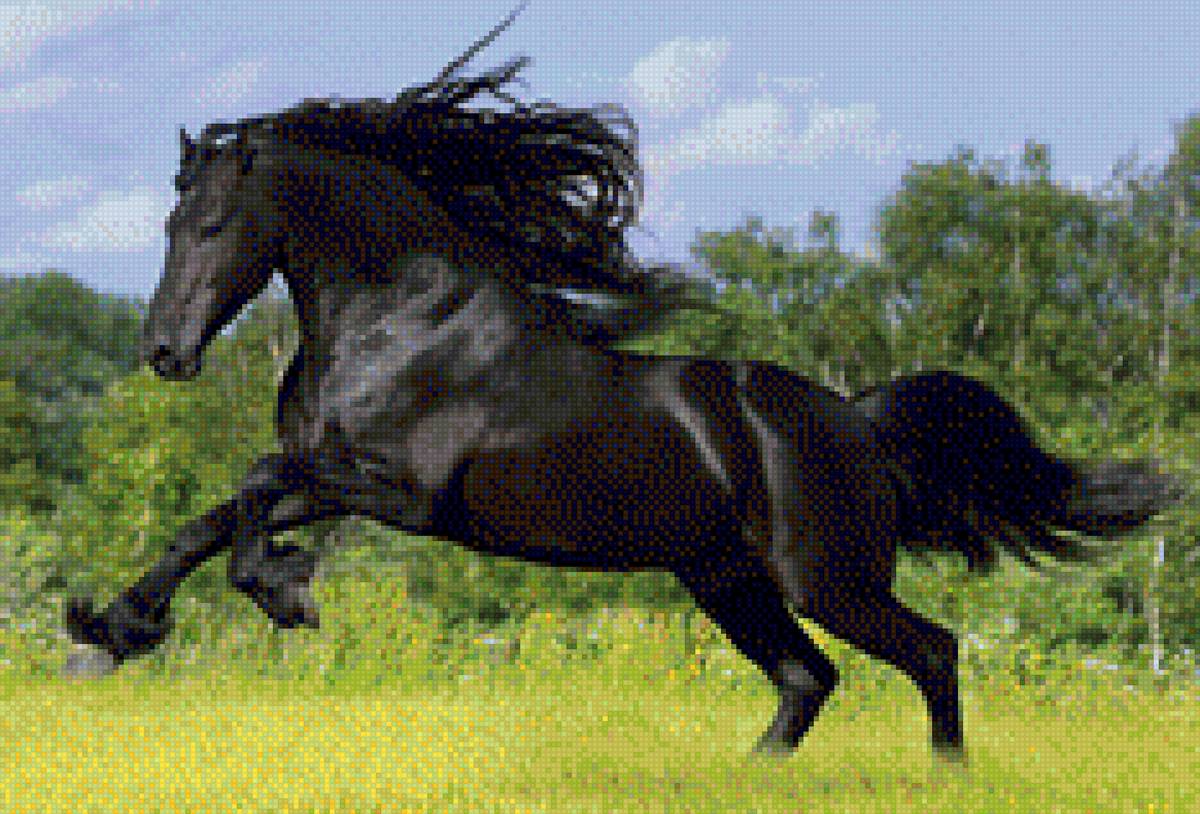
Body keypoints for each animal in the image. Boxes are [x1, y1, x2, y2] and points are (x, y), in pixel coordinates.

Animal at [64, 8, 1180, 764]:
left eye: (212, 223)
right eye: (168, 221)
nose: (164, 352)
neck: (396, 321)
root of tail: (857, 422)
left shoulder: (402, 492)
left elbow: (251, 490)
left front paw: (285, 592)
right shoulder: (335, 475)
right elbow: (204, 522)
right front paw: (109, 634)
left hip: (827, 578)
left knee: (932, 652)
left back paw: (945, 777)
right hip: (727, 582)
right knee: (807, 678)